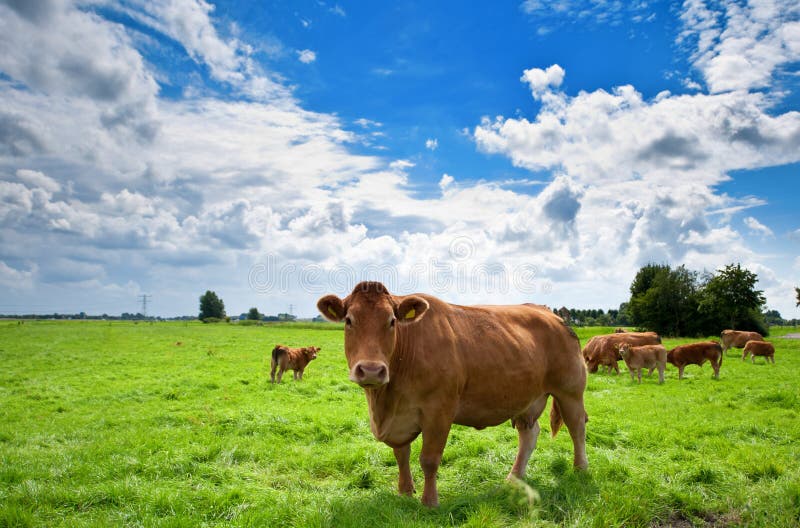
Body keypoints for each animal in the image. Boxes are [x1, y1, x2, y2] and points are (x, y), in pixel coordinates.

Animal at [318, 280, 588, 508]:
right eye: (349, 320)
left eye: (392, 321)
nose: (372, 370)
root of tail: (552, 314)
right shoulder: (400, 418)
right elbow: (401, 454)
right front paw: (404, 492)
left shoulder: (439, 411)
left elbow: (429, 459)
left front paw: (430, 502)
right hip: (526, 397)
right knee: (529, 435)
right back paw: (514, 478)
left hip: (570, 391)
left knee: (577, 428)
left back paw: (580, 469)